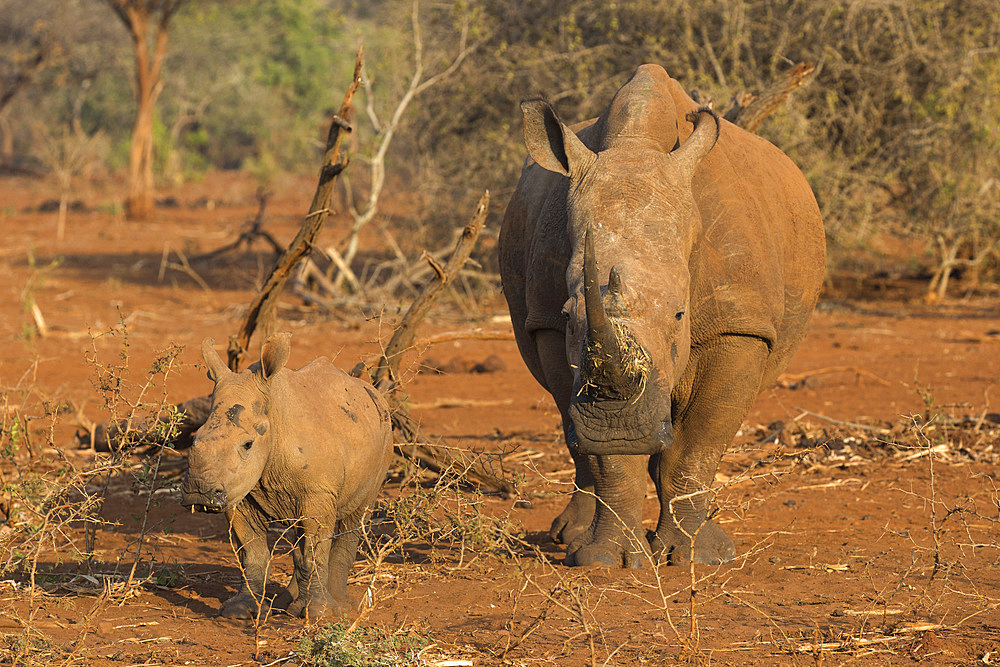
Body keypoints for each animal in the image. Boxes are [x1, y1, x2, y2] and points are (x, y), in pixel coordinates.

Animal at [182, 334, 392, 620]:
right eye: (194, 439)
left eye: (248, 444)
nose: (198, 493)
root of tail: (374, 392)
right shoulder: (240, 492)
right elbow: (252, 553)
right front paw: (240, 611)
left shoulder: (318, 491)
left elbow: (315, 551)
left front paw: (320, 614)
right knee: (299, 538)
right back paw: (287, 604)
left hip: (385, 435)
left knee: (356, 517)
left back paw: (340, 606)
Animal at [498, 65, 820, 568]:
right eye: (570, 315)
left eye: (680, 314)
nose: (619, 422)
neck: (637, 146)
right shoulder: (548, 323)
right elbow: (605, 456)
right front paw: (606, 559)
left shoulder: (739, 324)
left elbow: (699, 443)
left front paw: (696, 558)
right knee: (576, 434)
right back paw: (571, 538)